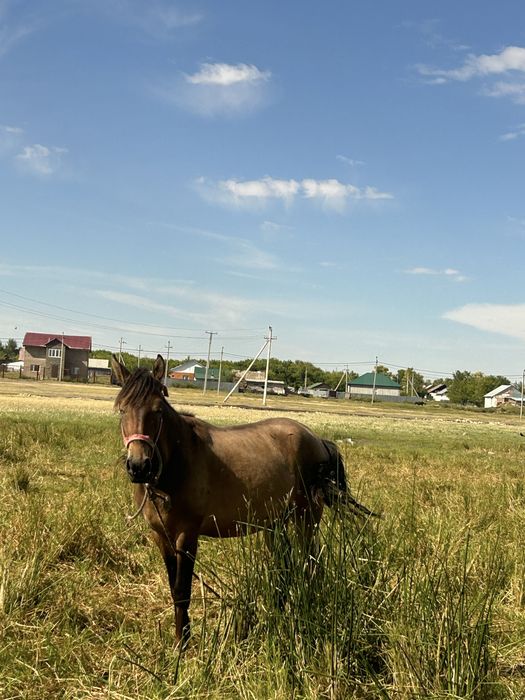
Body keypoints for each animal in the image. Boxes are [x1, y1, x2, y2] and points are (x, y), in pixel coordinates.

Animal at [111, 354, 375, 646]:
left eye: (157, 411)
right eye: (121, 410)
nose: (139, 466)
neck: (177, 465)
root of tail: (317, 439)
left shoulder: (187, 536)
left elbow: (183, 590)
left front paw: (183, 644)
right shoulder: (161, 536)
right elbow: (174, 589)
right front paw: (181, 638)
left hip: (306, 519)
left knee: (310, 565)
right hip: (276, 523)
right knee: (285, 568)